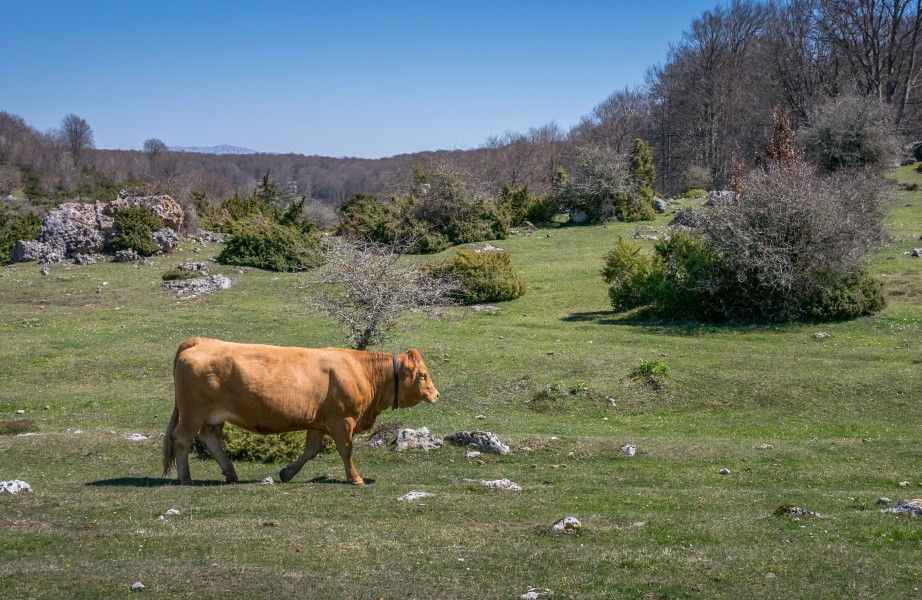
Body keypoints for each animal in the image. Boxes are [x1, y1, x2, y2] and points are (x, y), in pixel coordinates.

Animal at [162, 337, 440, 485]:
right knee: (183, 439)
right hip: (192, 413)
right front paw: (355, 478)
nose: (436, 394)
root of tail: (200, 341)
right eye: (423, 375)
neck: (362, 371)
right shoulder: (342, 420)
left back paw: (230, 473)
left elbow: (311, 450)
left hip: (212, 416)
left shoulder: (318, 422)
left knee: (209, 438)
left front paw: (287, 472)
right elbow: (346, 450)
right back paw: (186, 479)